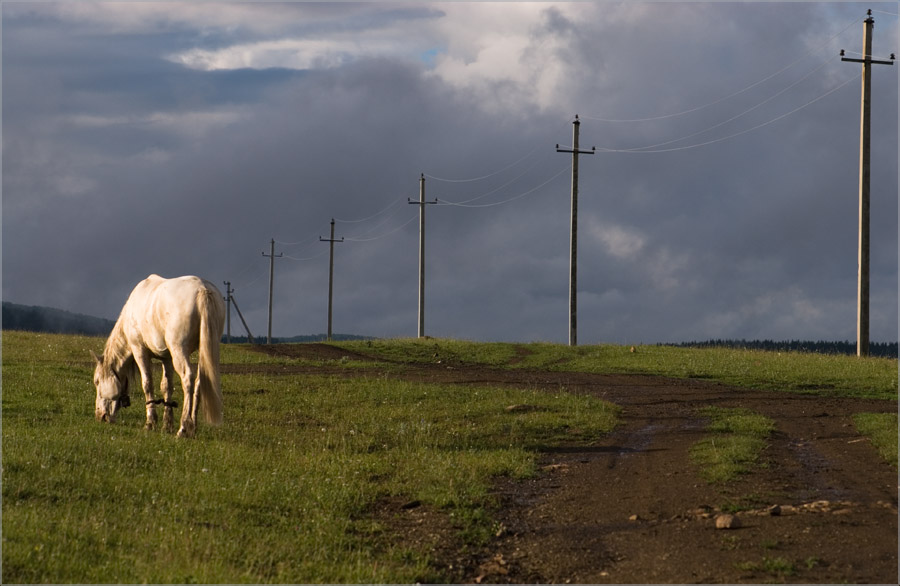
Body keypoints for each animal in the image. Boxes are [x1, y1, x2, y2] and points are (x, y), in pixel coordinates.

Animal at [92, 272, 227, 434]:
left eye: (97, 381)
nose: (100, 416)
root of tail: (202, 289)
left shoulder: (140, 351)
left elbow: (147, 383)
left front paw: (150, 422)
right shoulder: (167, 358)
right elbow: (166, 386)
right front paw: (167, 424)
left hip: (178, 350)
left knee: (187, 378)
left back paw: (183, 427)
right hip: (202, 352)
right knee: (200, 382)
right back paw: (192, 427)